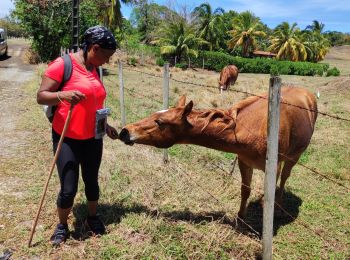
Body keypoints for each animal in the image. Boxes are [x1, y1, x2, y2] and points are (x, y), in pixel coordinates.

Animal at [119, 87, 318, 217]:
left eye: (160, 122)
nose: (124, 131)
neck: (253, 130)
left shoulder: (273, 168)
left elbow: (269, 195)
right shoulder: (244, 162)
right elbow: (245, 191)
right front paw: (240, 218)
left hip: (294, 157)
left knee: (285, 177)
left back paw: (280, 202)